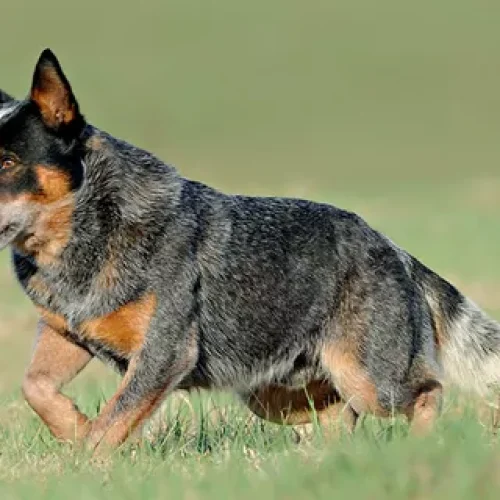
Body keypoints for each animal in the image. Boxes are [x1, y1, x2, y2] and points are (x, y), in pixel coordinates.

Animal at [0, 50, 498, 454]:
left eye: (6, 162)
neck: (82, 232)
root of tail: (396, 250)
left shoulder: (164, 351)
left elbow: (114, 419)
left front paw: (86, 464)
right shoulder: (65, 332)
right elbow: (34, 386)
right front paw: (74, 430)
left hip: (369, 377)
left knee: (427, 392)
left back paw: (420, 448)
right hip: (275, 393)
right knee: (339, 416)